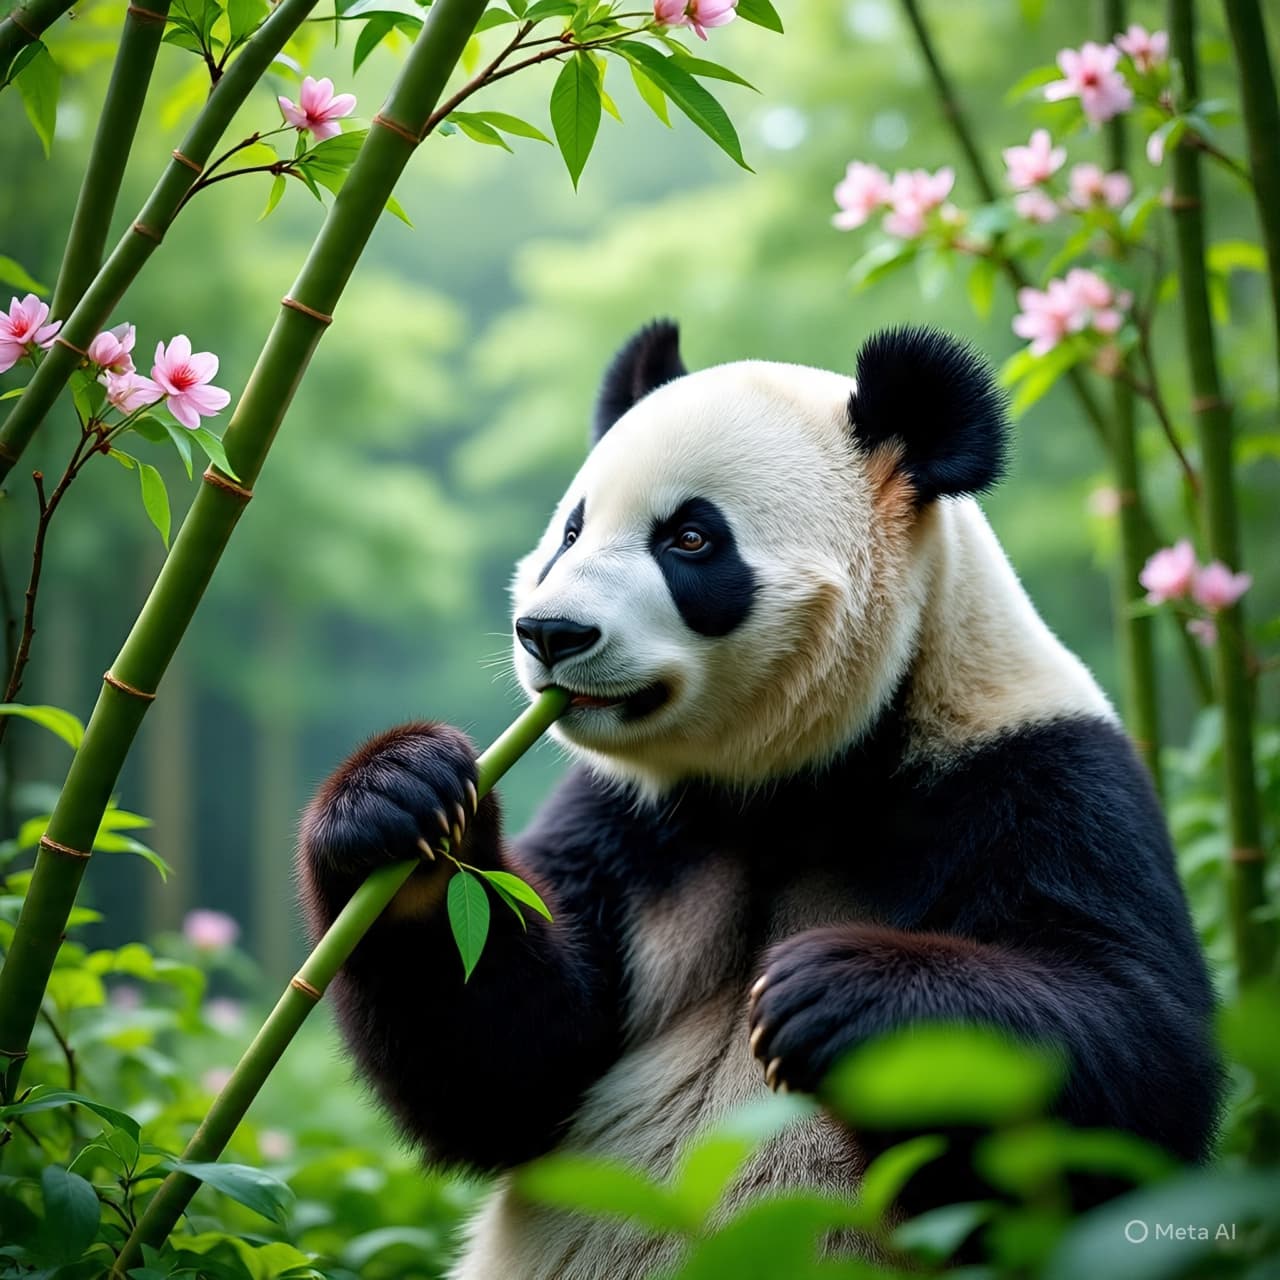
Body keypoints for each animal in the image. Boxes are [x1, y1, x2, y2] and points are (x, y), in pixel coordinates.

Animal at [298, 323, 1219, 1279]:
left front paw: (829, 993)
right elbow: (513, 1062)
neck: (796, 781)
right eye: (573, 529)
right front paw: (399, 801)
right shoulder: (632, 822)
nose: (552, 633)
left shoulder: (1037, 776)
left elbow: (1140, 1058)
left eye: (691, 538)